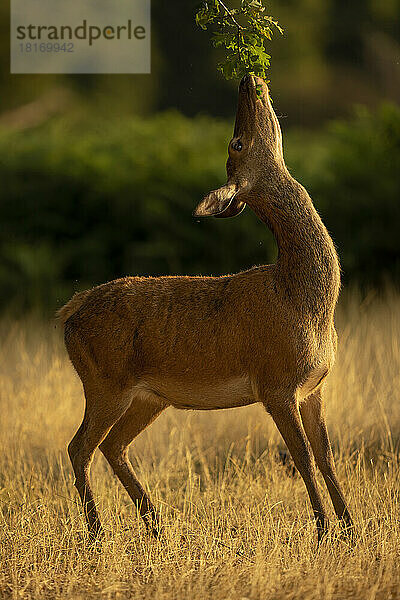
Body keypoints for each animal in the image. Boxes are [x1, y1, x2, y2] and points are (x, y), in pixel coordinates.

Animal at [57, 75, 354, 544]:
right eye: (236, 142)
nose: (249, 80)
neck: (305, 302)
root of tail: (69, 315)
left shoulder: (313, 386)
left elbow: (326, 455)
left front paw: (352, 527)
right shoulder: (275, 384)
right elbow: (302, 458)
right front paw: (324, 531)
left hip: (148, 397)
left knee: (112, 444)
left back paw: (156, 524)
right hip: (105, 382)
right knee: (79, 445)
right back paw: (98, 533)